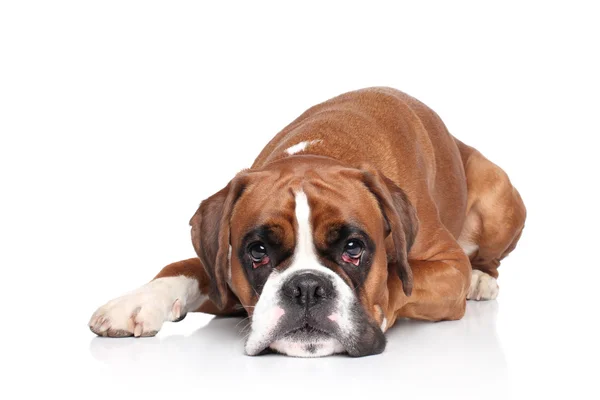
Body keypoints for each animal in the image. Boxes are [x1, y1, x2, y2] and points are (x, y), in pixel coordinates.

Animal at [89, 86, 524, 356]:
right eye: (258, 251)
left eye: (353, 248)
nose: (307, 288)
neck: (322, 151)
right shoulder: (224, 276)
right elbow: (187, 266)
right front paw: (137, 302)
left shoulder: (448, 266)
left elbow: (397, 279)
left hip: (500, 193)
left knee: (489, 259)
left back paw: (482, 280)